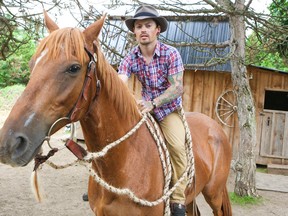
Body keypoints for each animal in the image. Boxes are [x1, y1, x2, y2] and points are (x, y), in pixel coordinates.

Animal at [0, 12, 232, 216]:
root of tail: (215, 127)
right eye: (32, 64)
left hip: (214, 195)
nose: (10, 143)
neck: (125, 161)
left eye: (74, 68)